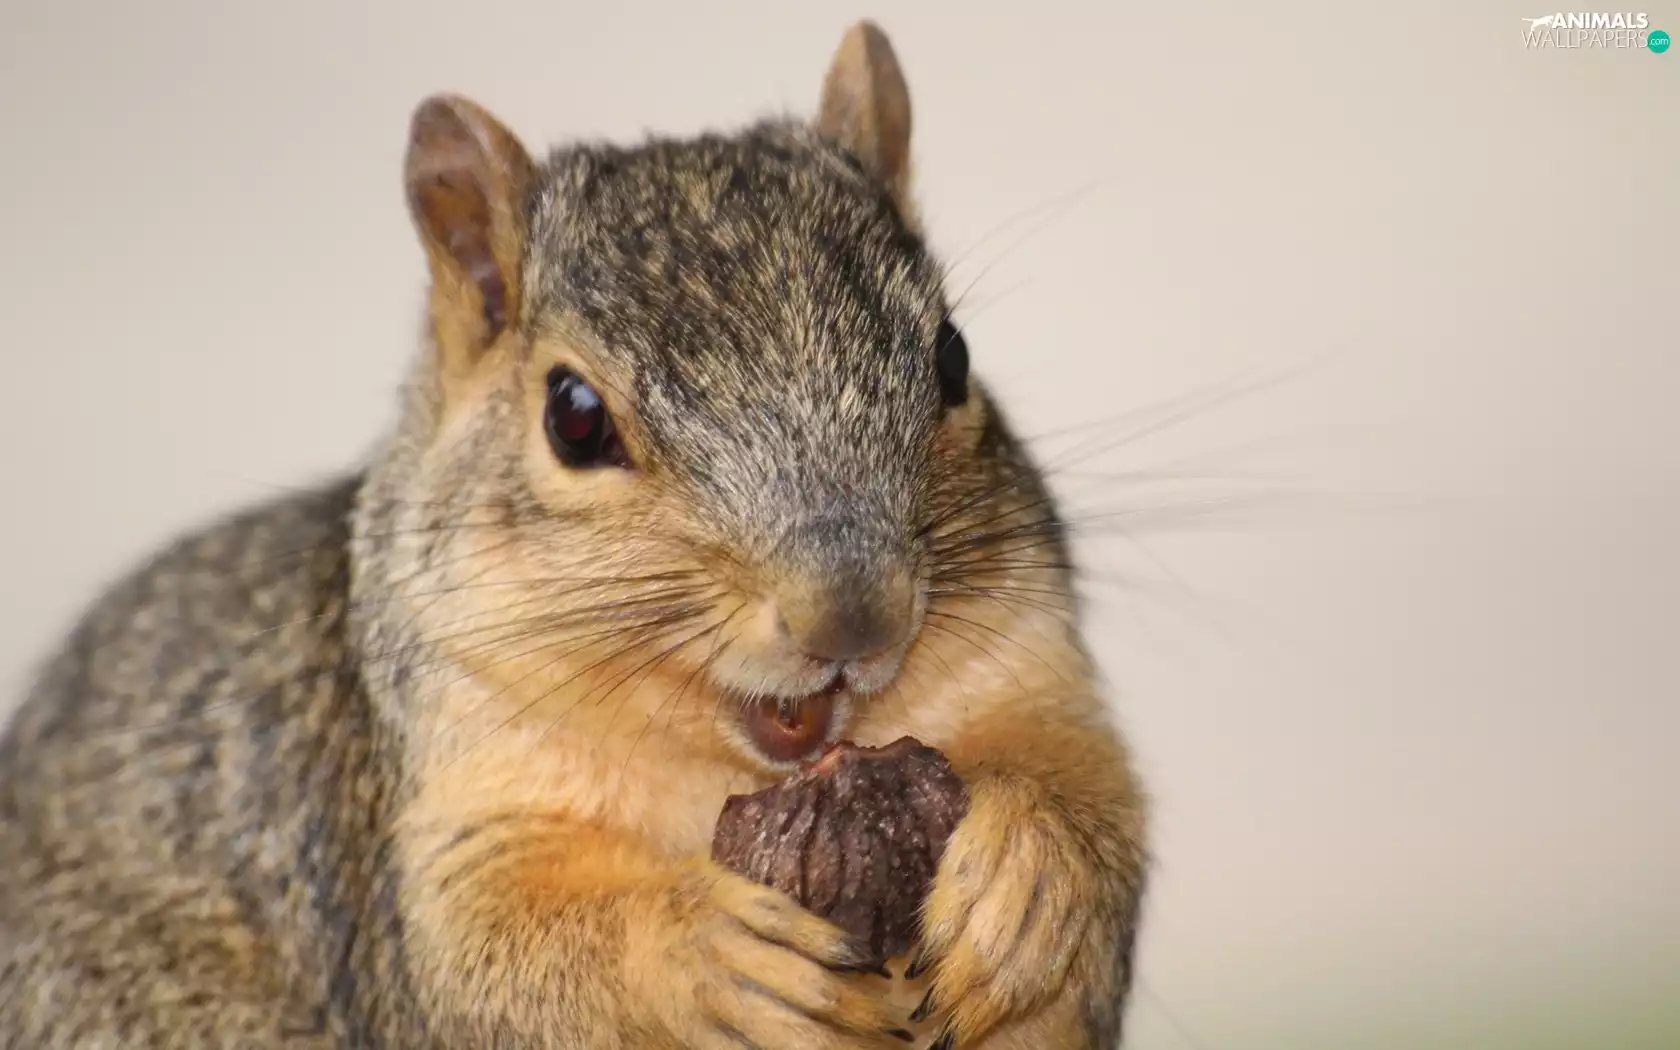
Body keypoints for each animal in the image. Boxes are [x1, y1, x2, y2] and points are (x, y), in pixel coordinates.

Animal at [0, 20, 1149, 1050]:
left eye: (953, 357)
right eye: (575, 417)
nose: (854, 616)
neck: (726, 767)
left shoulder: (1029, 661)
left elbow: (1094, 800)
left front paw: (1031, 876)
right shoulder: (451, 810)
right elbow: (498, 956)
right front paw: (699, 955)